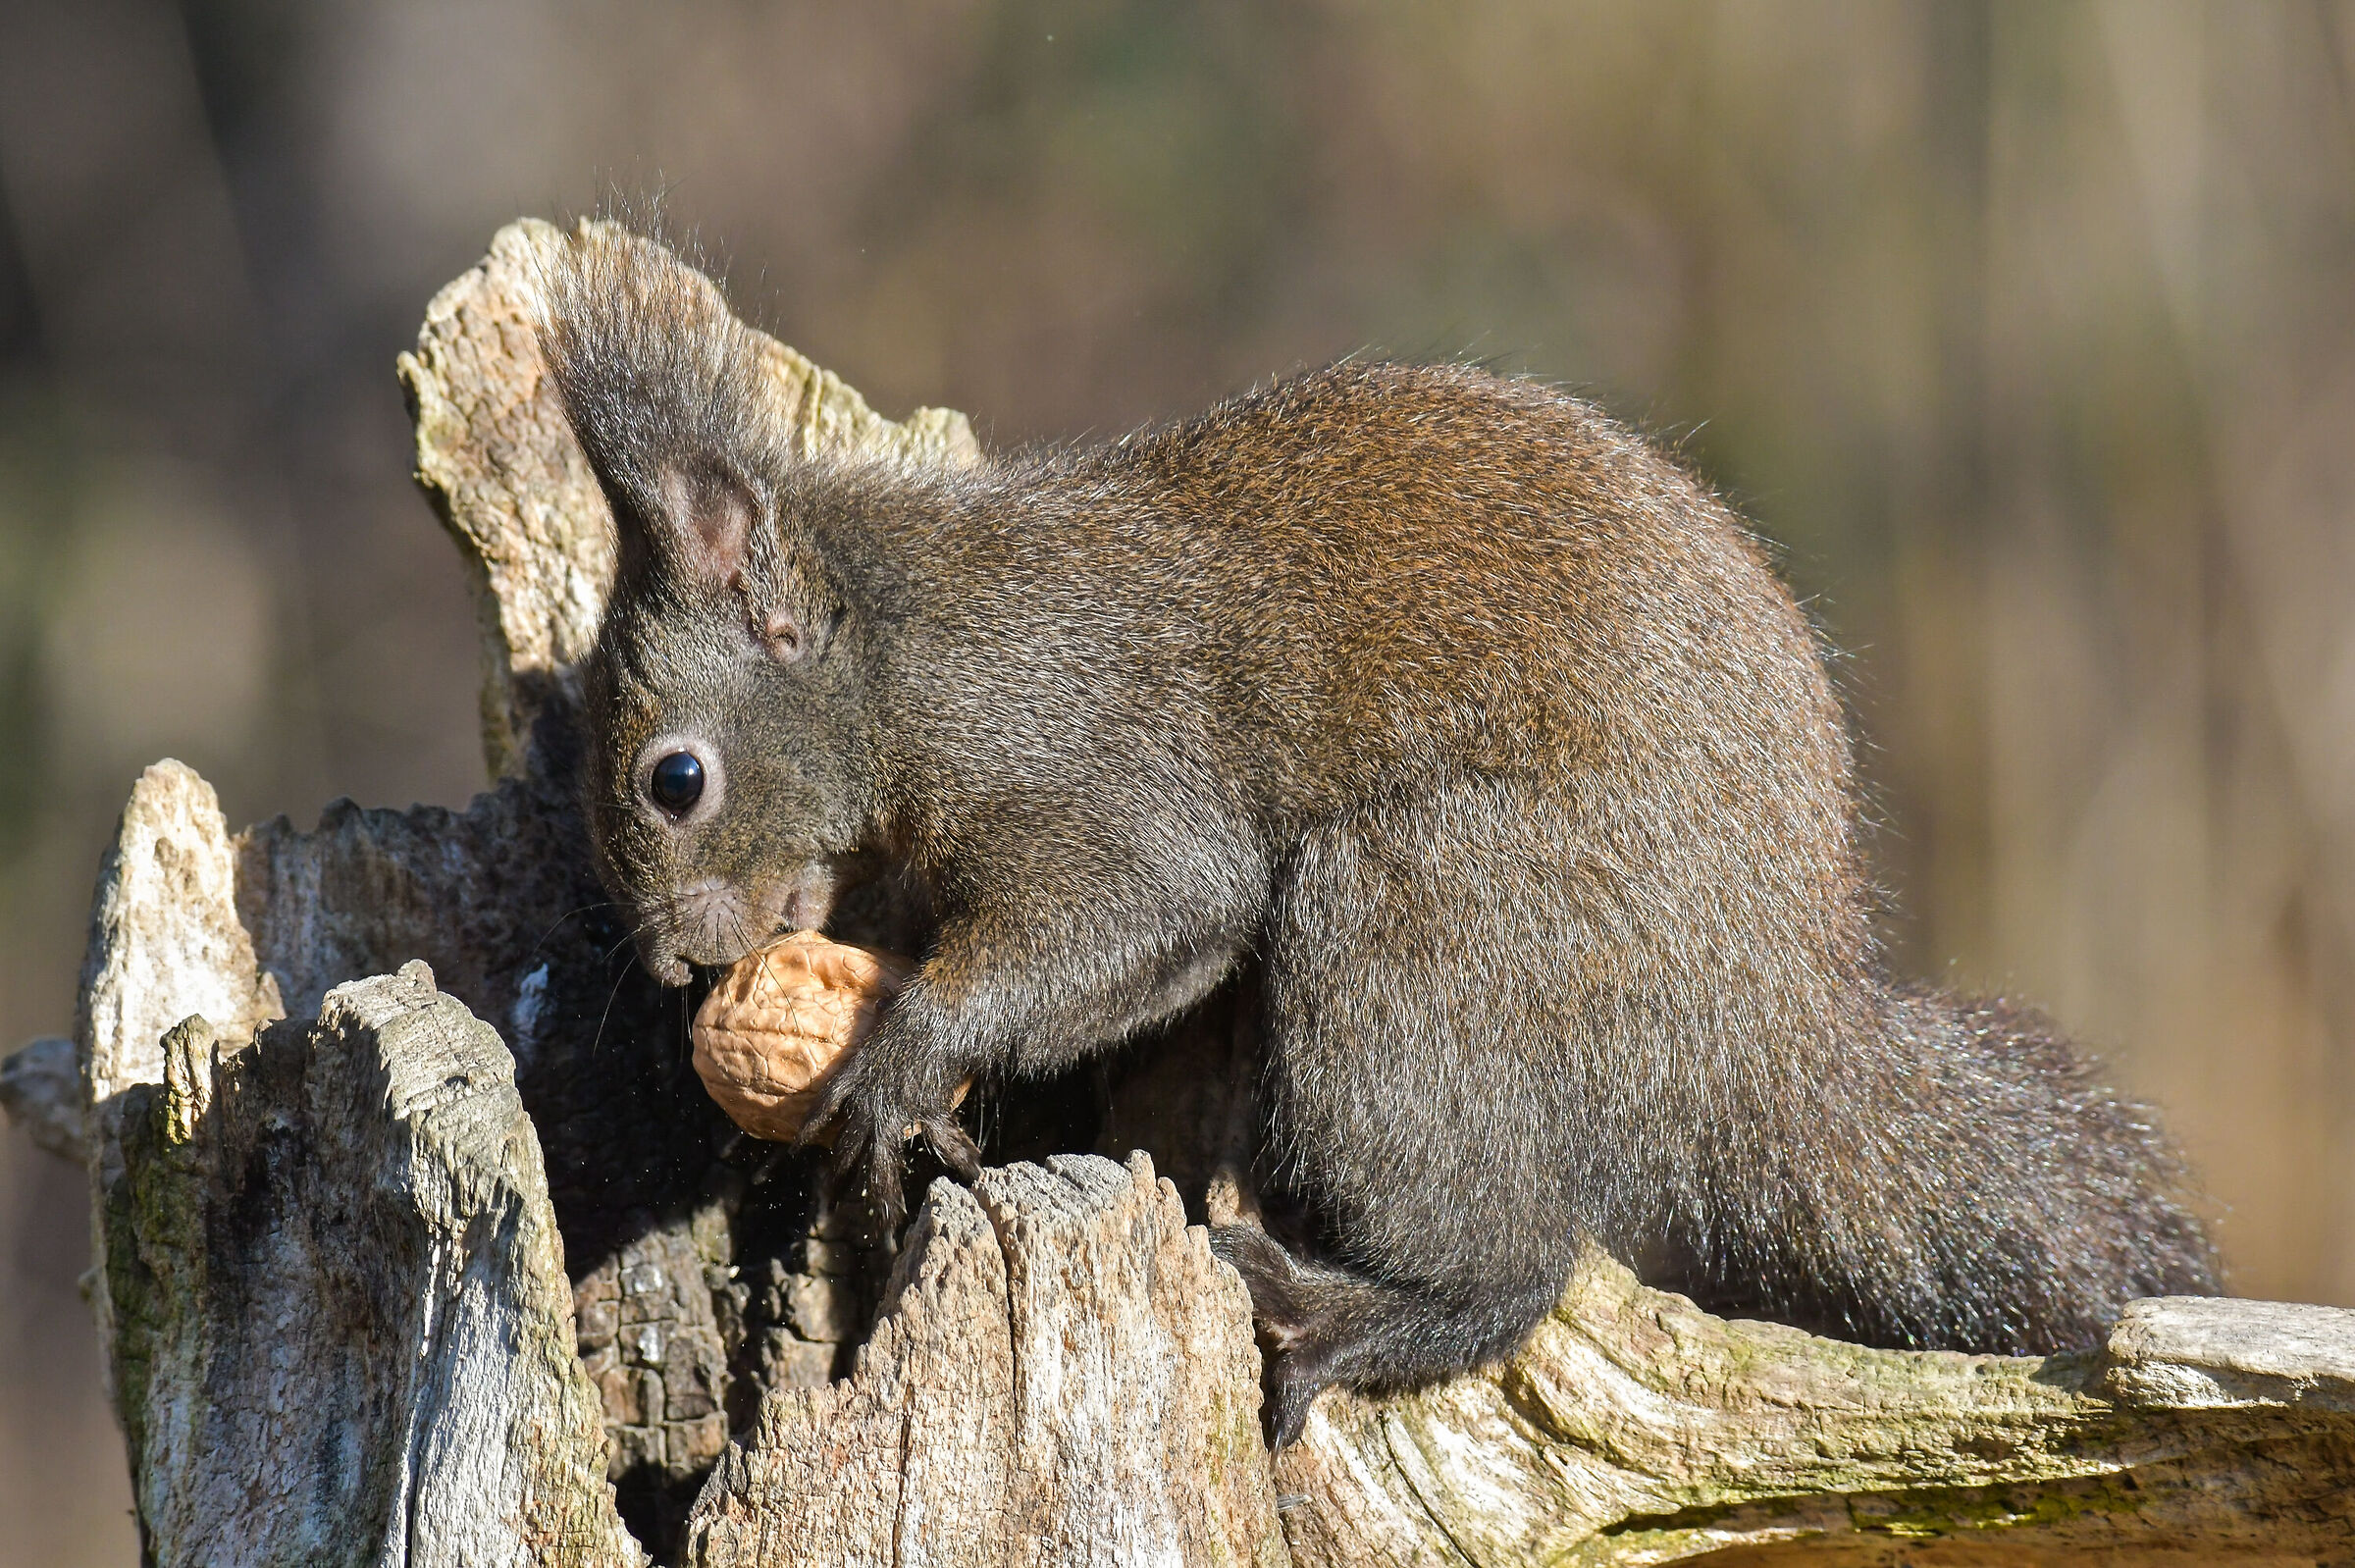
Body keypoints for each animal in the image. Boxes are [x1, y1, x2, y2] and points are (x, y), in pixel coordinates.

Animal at [538, 225, 2218, 1448]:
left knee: (1514, 1259)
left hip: (1426, 927)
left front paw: (897, 1063)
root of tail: (1758, 1017)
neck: (895, 650)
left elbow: (1133, 909)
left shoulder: (1089, 759)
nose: (681, 965)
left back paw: (1348, 1312)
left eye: (674, 778)